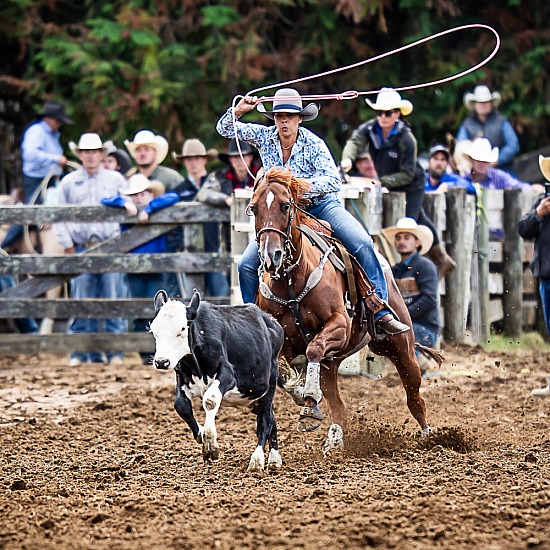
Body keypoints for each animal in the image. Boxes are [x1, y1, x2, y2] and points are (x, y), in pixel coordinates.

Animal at [153, 292, 286, 472]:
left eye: (182, 329)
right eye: (154, 330)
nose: (161, 361)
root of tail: (272, 322)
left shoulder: (228, 375)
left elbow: (210, 400)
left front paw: (210, 445)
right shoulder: (182, 378)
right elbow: (181, 405)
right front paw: (201, 434)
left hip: (269, 385)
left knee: (265, 419)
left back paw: (258, 460)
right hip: (252, 398)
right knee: (271, 417)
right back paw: (274, 458)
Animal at [252, 168, 442, 458]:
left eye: (285, 206)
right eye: (253, 208)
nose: (270, 256)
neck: (291, 281)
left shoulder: (339, 324)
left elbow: (314, 349)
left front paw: (308, 402)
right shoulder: (285, 343)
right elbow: (286, 373)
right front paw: (303, 395)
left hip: (401, 347)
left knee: (414, 396)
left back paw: (428, 436)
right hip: (333, 364)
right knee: (338, 407)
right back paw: (333, 439)